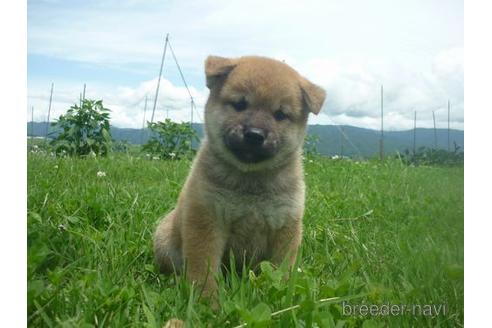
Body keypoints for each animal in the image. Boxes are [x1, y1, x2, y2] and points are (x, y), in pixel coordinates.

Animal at [152, 55, 324, 296]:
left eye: (280, 114)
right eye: (240, 104)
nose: (255, 135)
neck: (250, 181)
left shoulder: (286, 225)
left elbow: (281, 270)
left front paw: (281, 293)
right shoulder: (207, 220)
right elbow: (203, 269)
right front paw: (206, 299)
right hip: (165, 239)